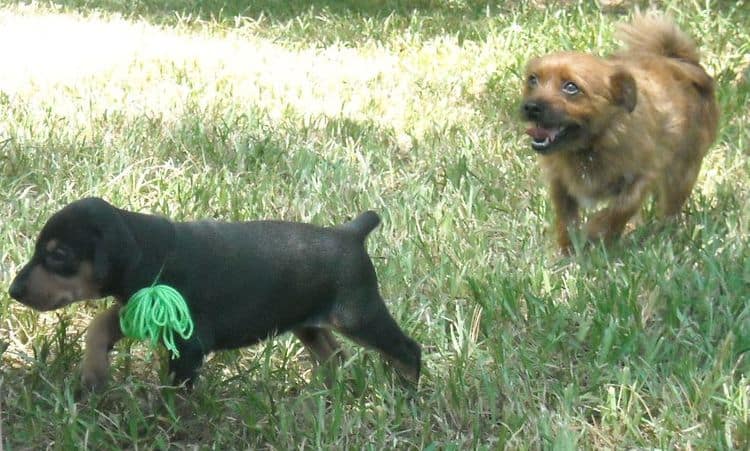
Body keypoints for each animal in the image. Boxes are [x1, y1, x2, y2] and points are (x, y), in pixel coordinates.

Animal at [8, 199, 420, 392]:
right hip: (308, 323)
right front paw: (93, 374)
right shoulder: (140, 307)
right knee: (334, 355)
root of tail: (351, 233)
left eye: (58, 255)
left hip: (358, 314)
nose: (12, 291)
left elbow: (175, 392)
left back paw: (408, 390)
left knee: (406, 348)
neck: (148, 245)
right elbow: (100, 324)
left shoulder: (189, 343)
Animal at [520, 14, 720, 252]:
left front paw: (596, 233)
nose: (530, 107)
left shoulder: (643, 174)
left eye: (571, 87)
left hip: (682, 173)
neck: (592, 145)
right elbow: (566, 221)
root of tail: (679, 59)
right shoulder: (560, 183)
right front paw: (566, 251)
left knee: (669, 212)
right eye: (532, 80)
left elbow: (620, 209)